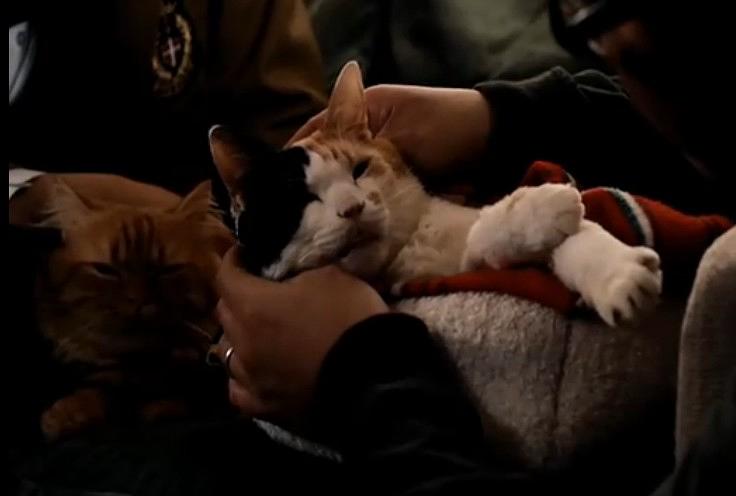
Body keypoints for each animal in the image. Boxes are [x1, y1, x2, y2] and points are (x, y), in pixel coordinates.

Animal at [209, 61, 662, 327]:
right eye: (302, 199)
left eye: (359, 169)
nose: (353, 208)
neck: (417, 248)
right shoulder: (444, 275)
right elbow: (486, 235)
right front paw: (541, 205)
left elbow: (577, 237)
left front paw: (615, 272)